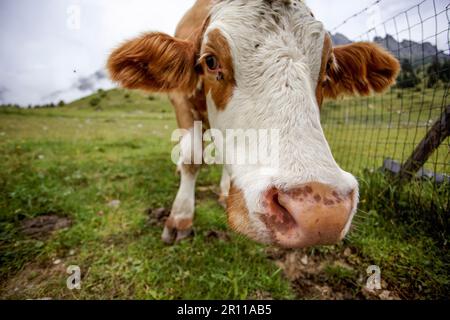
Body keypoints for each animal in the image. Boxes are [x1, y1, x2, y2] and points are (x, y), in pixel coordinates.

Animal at [107, 0, 400, 248]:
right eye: (210, 60)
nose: (319, 212)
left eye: (328, 66)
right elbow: (192, 158)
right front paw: (180, 218)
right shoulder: (181, 99)